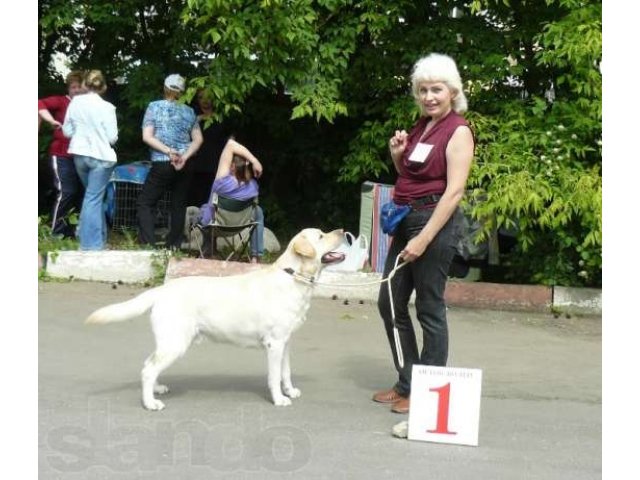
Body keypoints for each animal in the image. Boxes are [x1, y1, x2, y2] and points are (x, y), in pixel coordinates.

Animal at [87, 228, 344, 408]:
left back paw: (157, 389)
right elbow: (273, 376)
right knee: (149, 369)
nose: (343, 231)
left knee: (148, 364)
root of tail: (161, 290)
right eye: (321, 235)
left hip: (169, 342)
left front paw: (289, 391)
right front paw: (279, 399)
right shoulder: (275, 343)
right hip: (175, 342)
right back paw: (150, 403)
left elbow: (286, 372)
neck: (293, 277)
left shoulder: (286, 342)